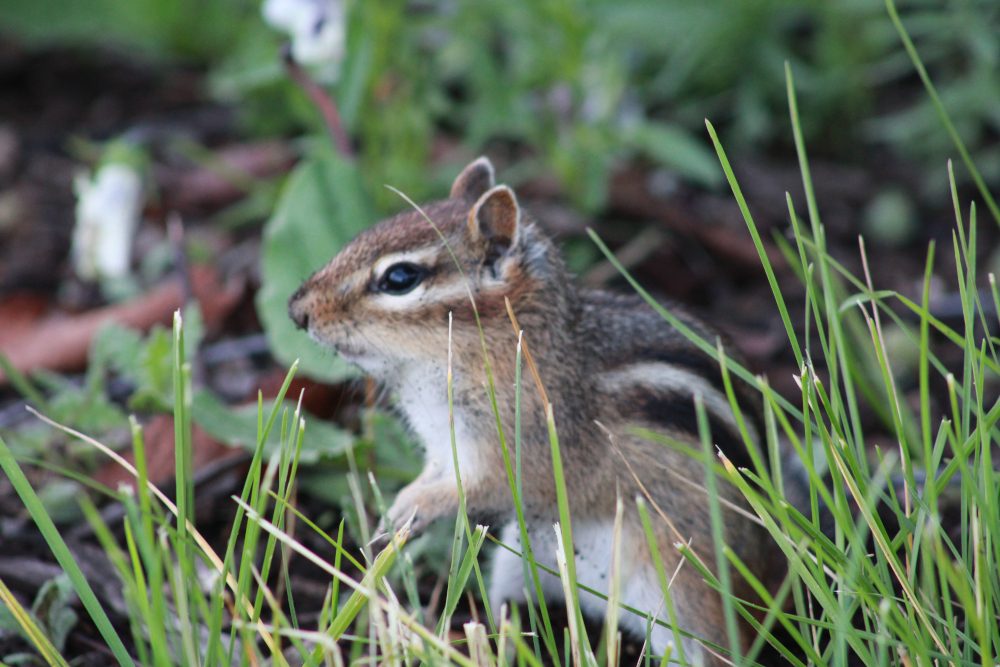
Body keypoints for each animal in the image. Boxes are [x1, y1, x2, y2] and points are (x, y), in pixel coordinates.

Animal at [288, 157, 777, 665]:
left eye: (399, 279)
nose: (296, 310)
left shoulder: (521, 450)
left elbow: (482, 487)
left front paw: (413, 508)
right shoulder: (446, 447)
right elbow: (435, 475)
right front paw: (396, 510)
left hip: (686, 597)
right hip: (516, 564)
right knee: (515, 612)